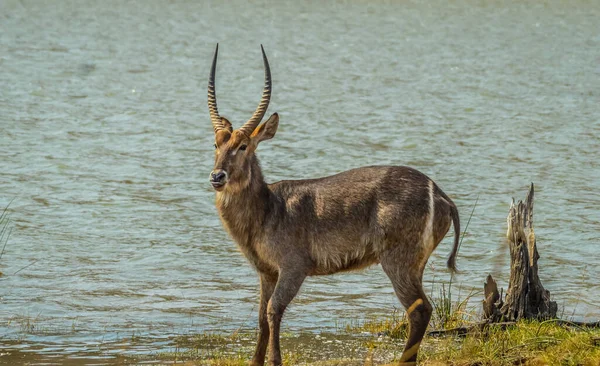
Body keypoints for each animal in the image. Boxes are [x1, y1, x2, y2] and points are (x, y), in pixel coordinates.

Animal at [205, 44, 460, 364]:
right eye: (216, 144)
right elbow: (262, 318)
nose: (217, 176)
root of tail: (440, 193)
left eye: (243, 146)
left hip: (397, 260)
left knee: (420, 309)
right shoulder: (266, 271)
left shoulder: (293, 267)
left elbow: (274, 311)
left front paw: (275, 360)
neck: (267, 209)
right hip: (415, 263)